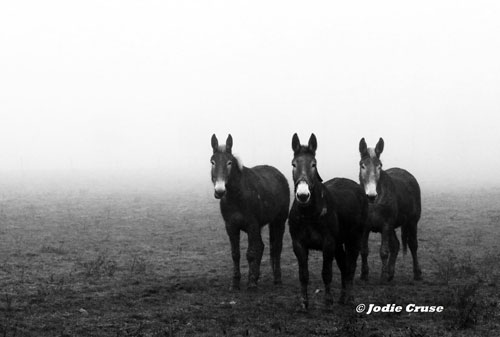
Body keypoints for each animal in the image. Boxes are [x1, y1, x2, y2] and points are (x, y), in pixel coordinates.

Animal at [210, 133, 290, 288]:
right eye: (212, 162)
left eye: (229, 163)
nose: (219, 191)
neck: (236, 196)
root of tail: (278, 174)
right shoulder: (231, 226)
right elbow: (235, 254)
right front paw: (236, 282)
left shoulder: (252, 225)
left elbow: (251, 253)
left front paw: (251, 282)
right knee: (262, 246)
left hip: (279, 221)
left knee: (276, 247)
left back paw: (277, 278)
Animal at [290, 133, 368, 308]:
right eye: (293, 164)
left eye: (314, 164)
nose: (303, 195)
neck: (309, 214)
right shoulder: (299, 245)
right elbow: (303, 275)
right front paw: (304, 303)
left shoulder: (328, 244)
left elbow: (326, 273)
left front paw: (328, 302)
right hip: (339, 243)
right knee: (344, 266)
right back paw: (342, 297)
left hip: (354, 238)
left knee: (351, 266)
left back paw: (349, 297)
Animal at [360, 136, 422, 280]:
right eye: (362, 165)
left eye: (379, 166)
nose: (371, 195)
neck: (374, 204)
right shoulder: (365, 227)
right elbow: (364, 251)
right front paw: (364, 274)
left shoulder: (386, 226)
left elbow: (384, 251)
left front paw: (383, 275)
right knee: (396, 245)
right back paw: (391, 272)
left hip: (412, 222)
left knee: (413, 245)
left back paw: (417, 273)